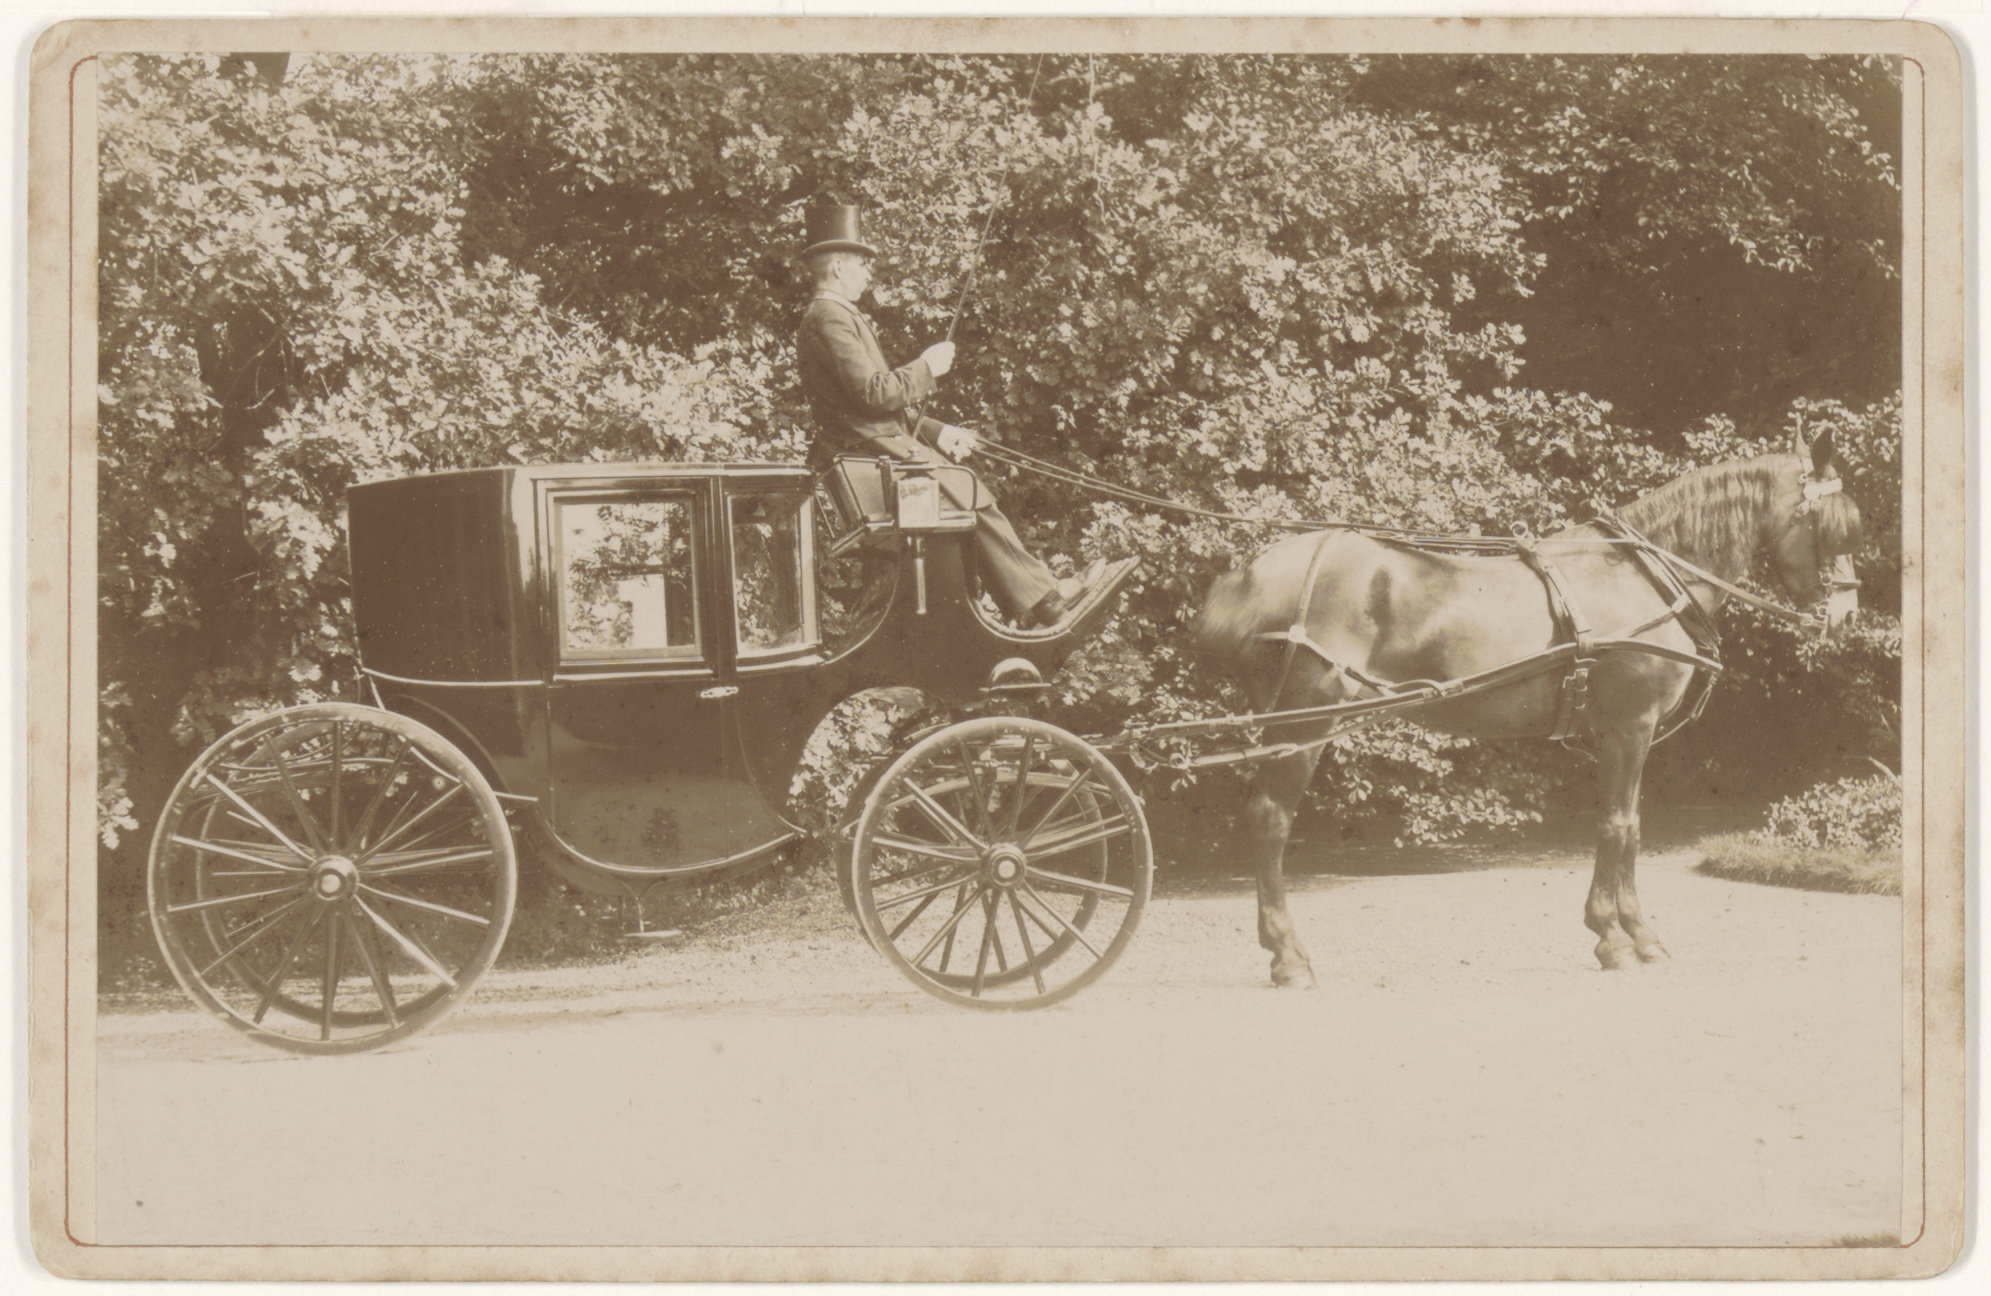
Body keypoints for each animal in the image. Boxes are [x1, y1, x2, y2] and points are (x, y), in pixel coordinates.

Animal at [1193, 429, 1864, 984]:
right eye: (1835, 526)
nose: (1848, 615)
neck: (1642, 578)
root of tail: (1247, 575)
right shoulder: (1629, 727)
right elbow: (1616, 826)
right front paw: (1615, 937)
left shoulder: (1627, 733)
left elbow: (1632, 826)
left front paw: (1634, 933)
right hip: (1308, 720)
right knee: (1271, 820)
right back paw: (1289, 956)